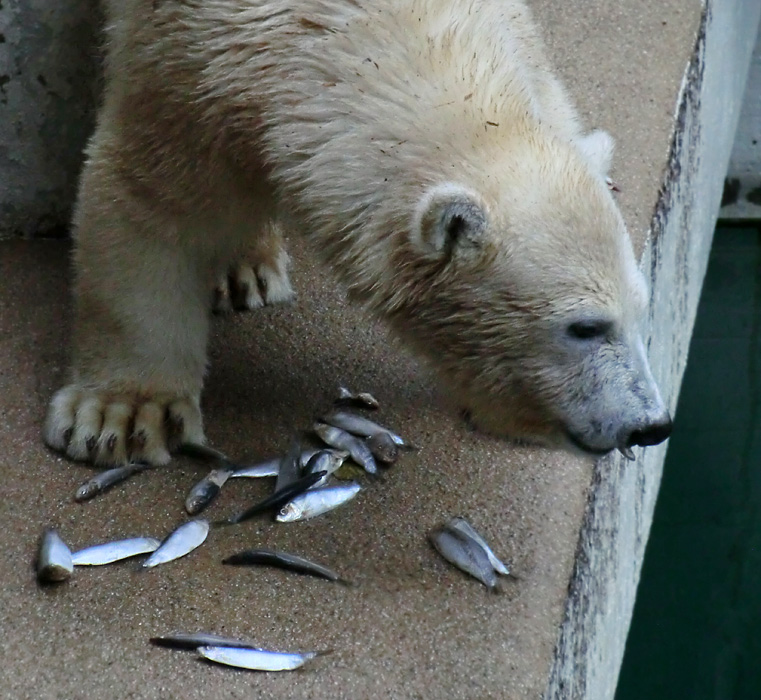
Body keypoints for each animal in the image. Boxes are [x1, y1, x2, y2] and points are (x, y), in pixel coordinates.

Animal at [44, 2, 668, 468]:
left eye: (642, 312)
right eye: (584, 327)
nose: (651, 427)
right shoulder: (193, 68)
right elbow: (152, 204)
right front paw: (124, 413)